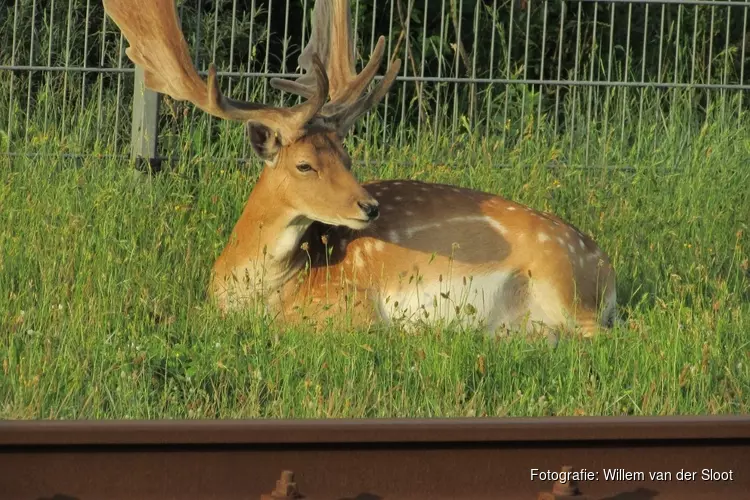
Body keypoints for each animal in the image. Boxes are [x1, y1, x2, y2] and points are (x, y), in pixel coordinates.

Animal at [101, 0, 616, 340]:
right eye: (305, 164)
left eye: (348, 158)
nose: (369, 206)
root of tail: (605, 266)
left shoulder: (347, 306)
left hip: (560, 281)